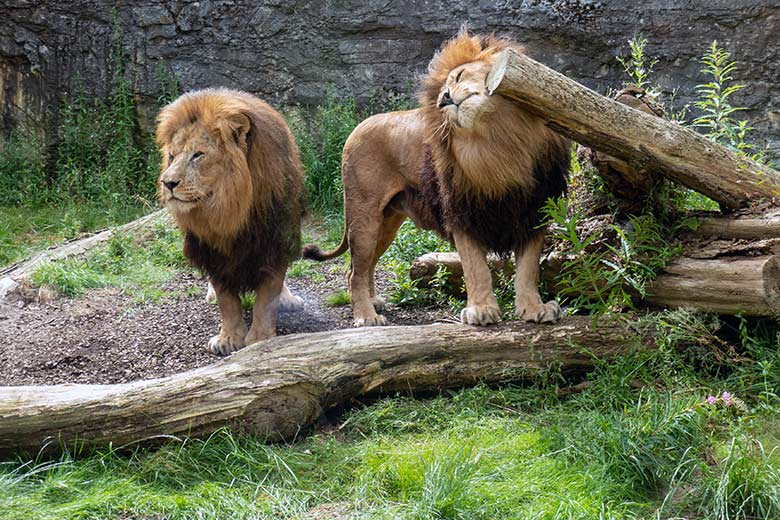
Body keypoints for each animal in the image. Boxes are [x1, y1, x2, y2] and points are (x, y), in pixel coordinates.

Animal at [157, 90, 306, 358]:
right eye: (172, 156)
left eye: (197, 154)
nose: (168, 183)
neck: (229, 212)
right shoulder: (212, 251)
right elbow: (227, 301)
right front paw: (228, 338)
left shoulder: (275, 242)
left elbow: (267, 295)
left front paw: (260, 338)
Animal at [304, 30, 568, 328]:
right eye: (442, 92)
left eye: (460, 75)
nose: (444, 98)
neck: (496, 143)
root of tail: (356, 128)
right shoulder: (461, 213)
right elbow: (476, 268)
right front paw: (480, 310)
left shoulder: (533, 210)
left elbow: (528, 268)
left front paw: (534, 309)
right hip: (364, 216)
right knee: (354, 271)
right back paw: (366, 316)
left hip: (387, 222)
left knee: (365, 264)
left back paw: (373, 302)